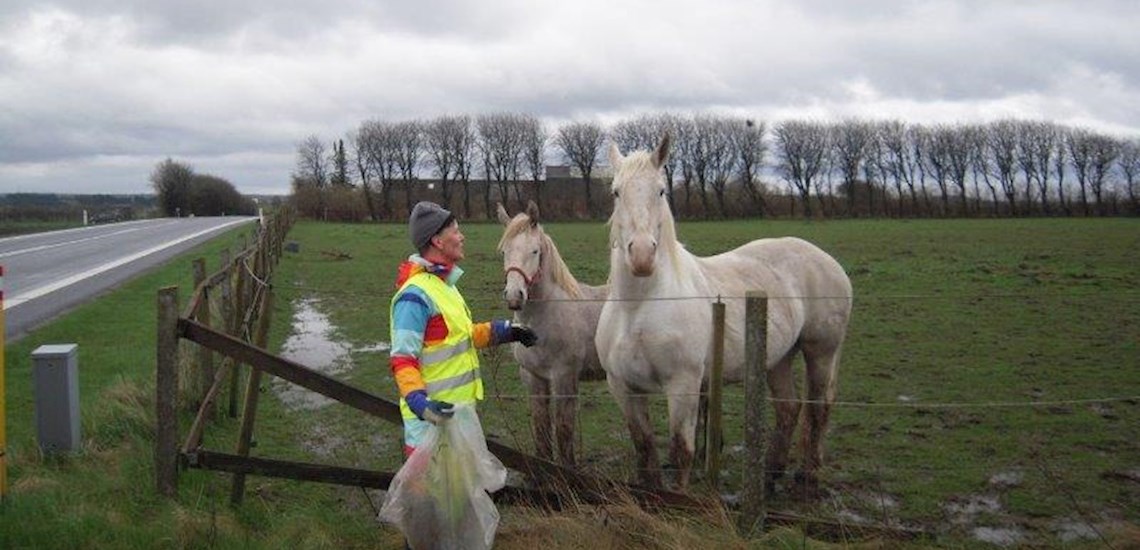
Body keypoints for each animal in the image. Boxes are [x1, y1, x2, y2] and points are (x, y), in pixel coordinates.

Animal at [496, 201, 607, 465]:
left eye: (535, 251)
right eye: (504, 252)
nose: (514, 296)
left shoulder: (564, 378)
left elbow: (564, 431)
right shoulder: (534, 378)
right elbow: (542, 427)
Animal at [595, 136, 853, 491]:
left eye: (660, 191)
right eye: (616, 192)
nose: (643, 257)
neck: (637, 307)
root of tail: (827, 260)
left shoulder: (684, 384)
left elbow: (681, 451)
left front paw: (681, 497)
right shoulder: (623, 387)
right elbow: (645, 448)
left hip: (821, 353)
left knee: (818, 408)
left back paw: (807, 476)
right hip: (778, 358)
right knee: (789, 408)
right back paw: (771, 475)